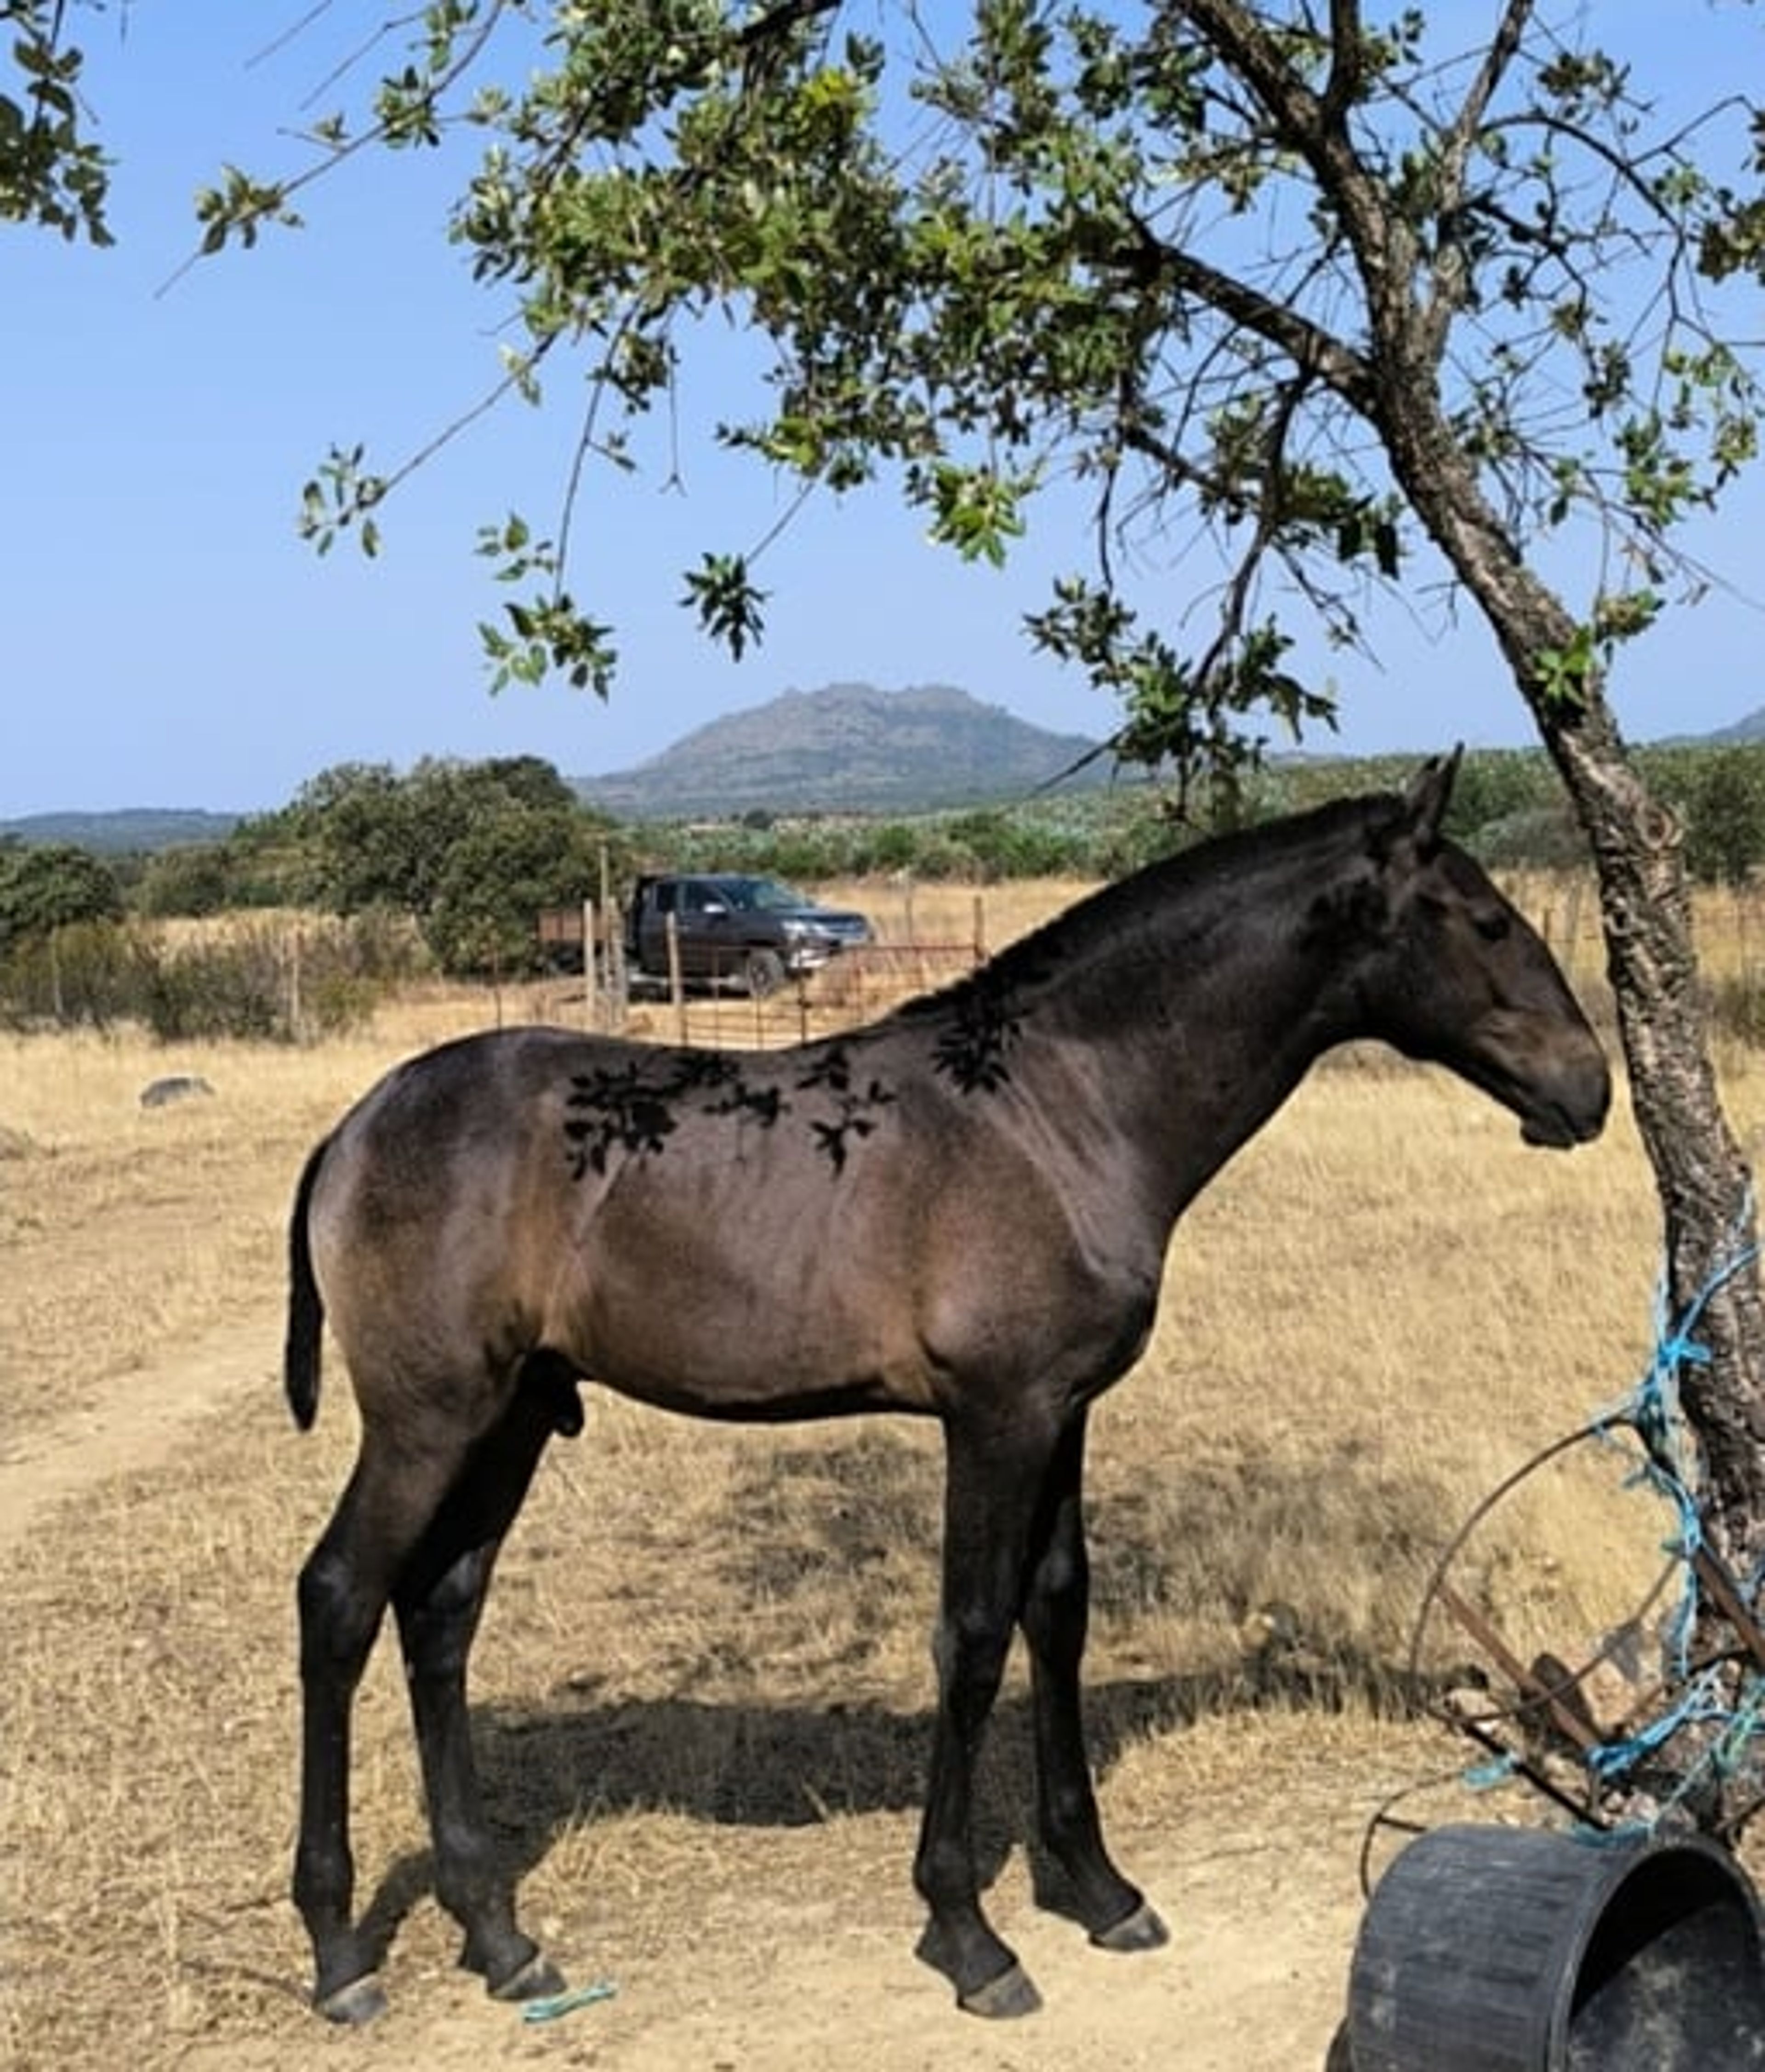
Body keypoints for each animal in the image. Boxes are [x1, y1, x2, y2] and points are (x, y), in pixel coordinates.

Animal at [283, 751, 1609, 2024]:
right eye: (1486, 919)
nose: (1588, 1087)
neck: (1052, 1110)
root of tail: (356, 1126)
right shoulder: (994, 1416)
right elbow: (970, 1637)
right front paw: (969, 1934)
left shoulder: (1062, 1411)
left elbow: (1056, 1613)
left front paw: (1101, 1889)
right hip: (426, 1420)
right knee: (341, 1599)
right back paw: (341, 1949)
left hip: (509, 1418)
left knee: (440, 1614)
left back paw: (499, 1937)